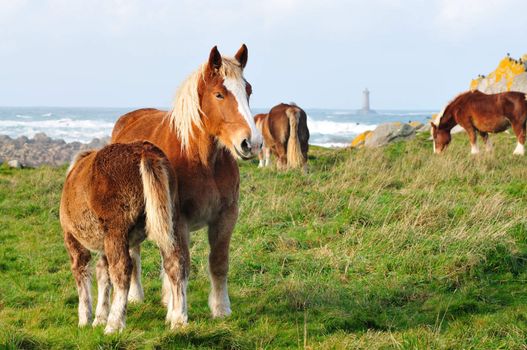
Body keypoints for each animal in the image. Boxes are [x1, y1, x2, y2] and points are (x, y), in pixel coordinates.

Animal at [60, 142, 189, 334]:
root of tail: (145, 153)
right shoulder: (103, 244)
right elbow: (103, 275)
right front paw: (99, 318)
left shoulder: (73, 239)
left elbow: (82, 273)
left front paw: (85, 320)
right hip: (170, 221)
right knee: (175, 263)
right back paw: (178, 321)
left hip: (116, 231)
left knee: (122, 269)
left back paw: (114, 325)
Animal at [111, 45, 262, 322]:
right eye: (219, 94)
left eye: (248, 90)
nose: (252, 143)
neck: (200, 160)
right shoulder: (177, 219)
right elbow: (179, 265)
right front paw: (179, 316)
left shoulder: (226, 216)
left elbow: (218, 262)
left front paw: (221, 309)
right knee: (136, 253)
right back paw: (137, 296)